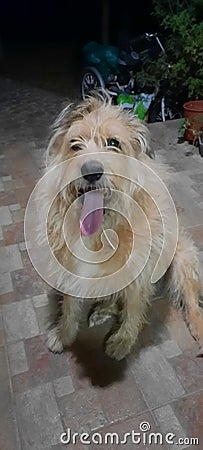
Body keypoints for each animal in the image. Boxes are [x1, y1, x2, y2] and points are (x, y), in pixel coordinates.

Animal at [39, 95, 203, 362]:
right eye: (75, 145)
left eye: (113, 143)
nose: (91, 171)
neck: (102, 228)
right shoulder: (72, 267)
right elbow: (71, 307)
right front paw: (63, 335)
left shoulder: (140, 273)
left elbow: (133, 309)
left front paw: (123, 341)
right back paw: (101, 311)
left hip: (184, 262)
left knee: (191, 302)